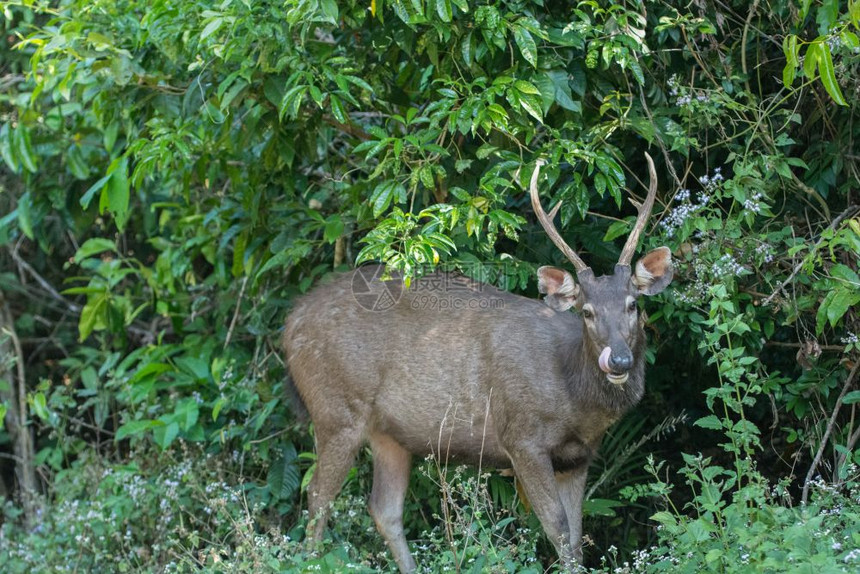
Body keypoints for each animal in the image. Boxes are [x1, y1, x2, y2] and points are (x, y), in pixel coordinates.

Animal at [282, 153, 672, 572]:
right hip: (335, 410)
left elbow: (576, 540)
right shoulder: (522, 437)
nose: (619, 360)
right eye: (587, 312)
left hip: (390, 433)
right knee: (318, 497)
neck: (574, 401)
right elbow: (558, 530)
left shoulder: (578, 457)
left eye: (633, 305)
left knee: (383, 508)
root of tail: (290, 324)